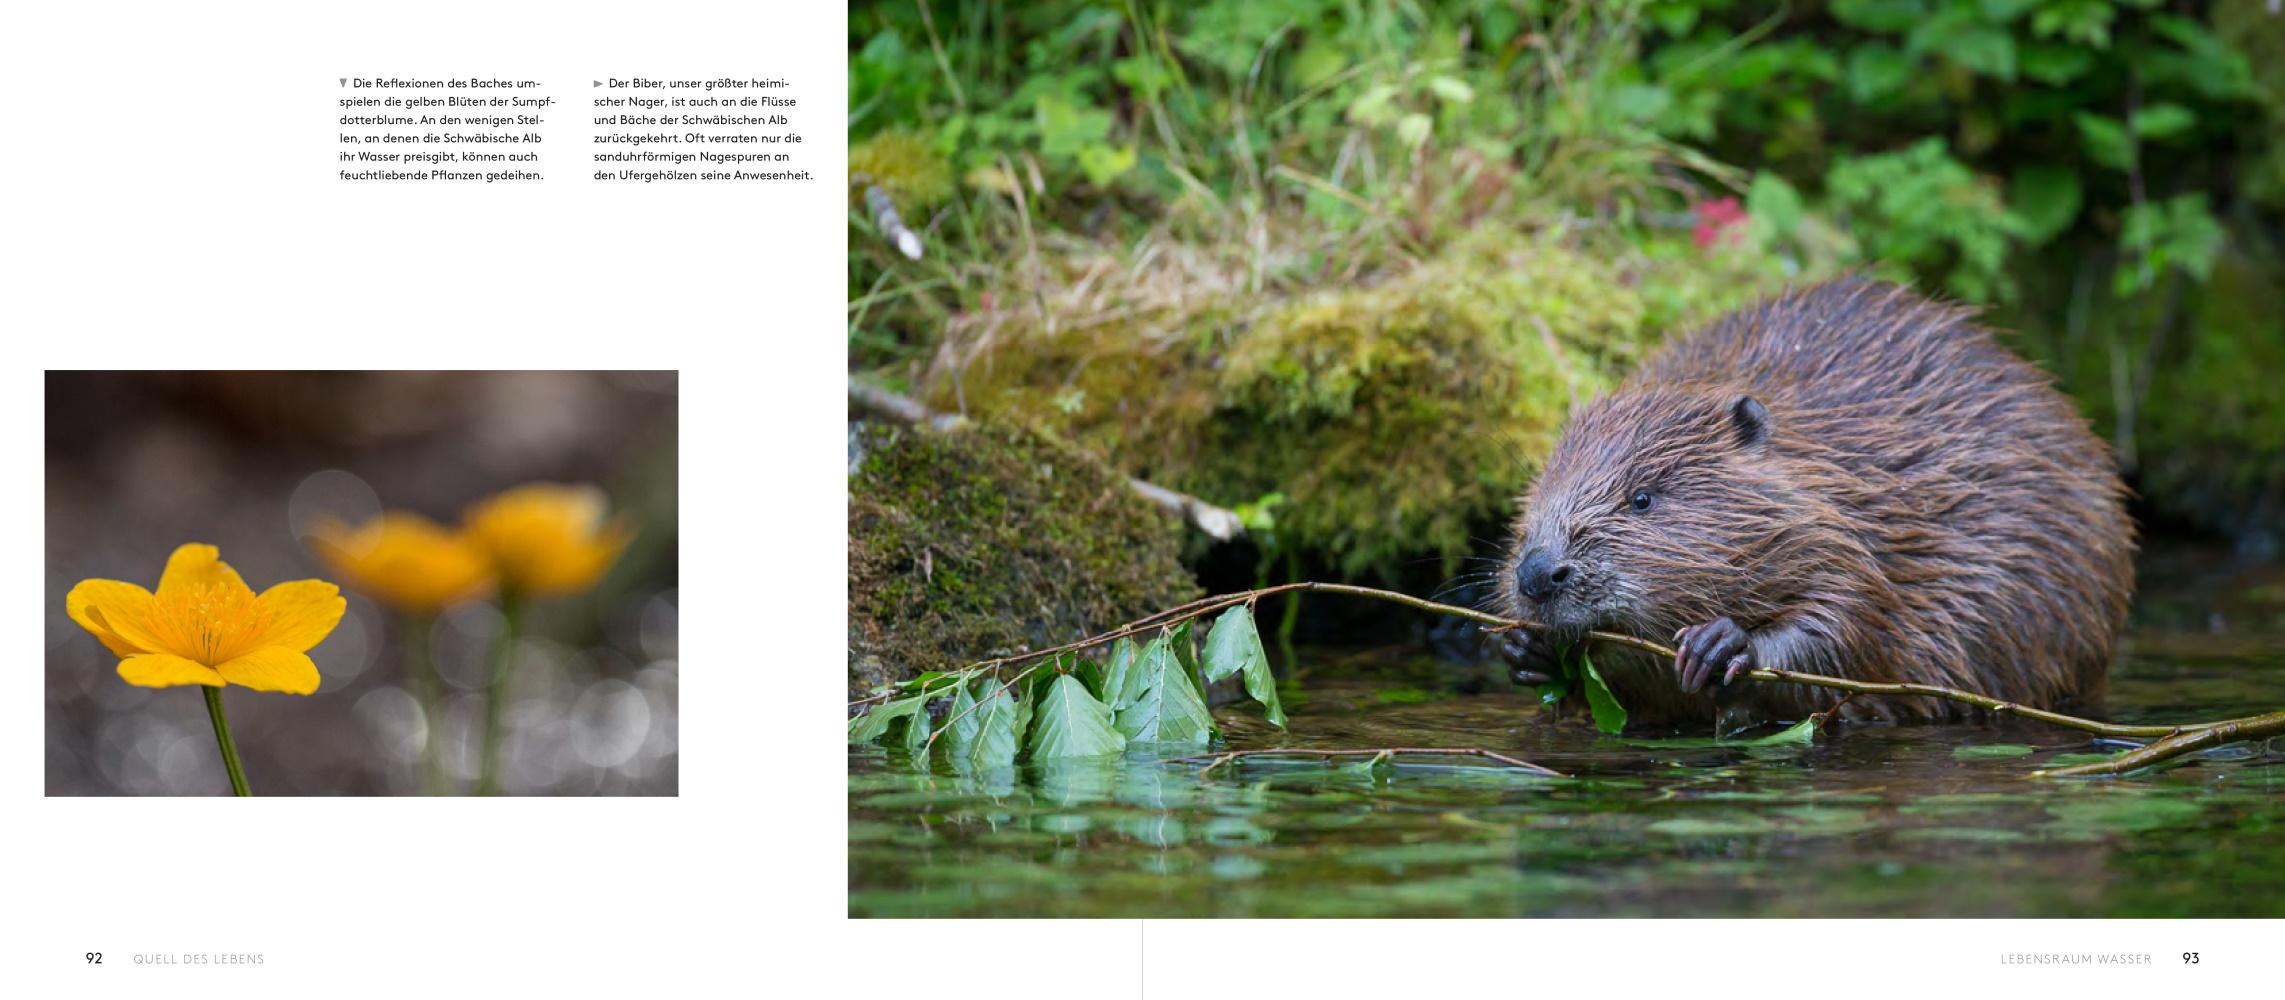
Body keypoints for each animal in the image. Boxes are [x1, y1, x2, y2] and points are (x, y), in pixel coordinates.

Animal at [1508, 277, 2129, 730]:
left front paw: (1720, 645)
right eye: (1536, 493)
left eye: (1642, 498)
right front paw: (1525, 648)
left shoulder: (1859, 540)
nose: (1537, 574)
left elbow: (1846, 629)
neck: (1836, 462)